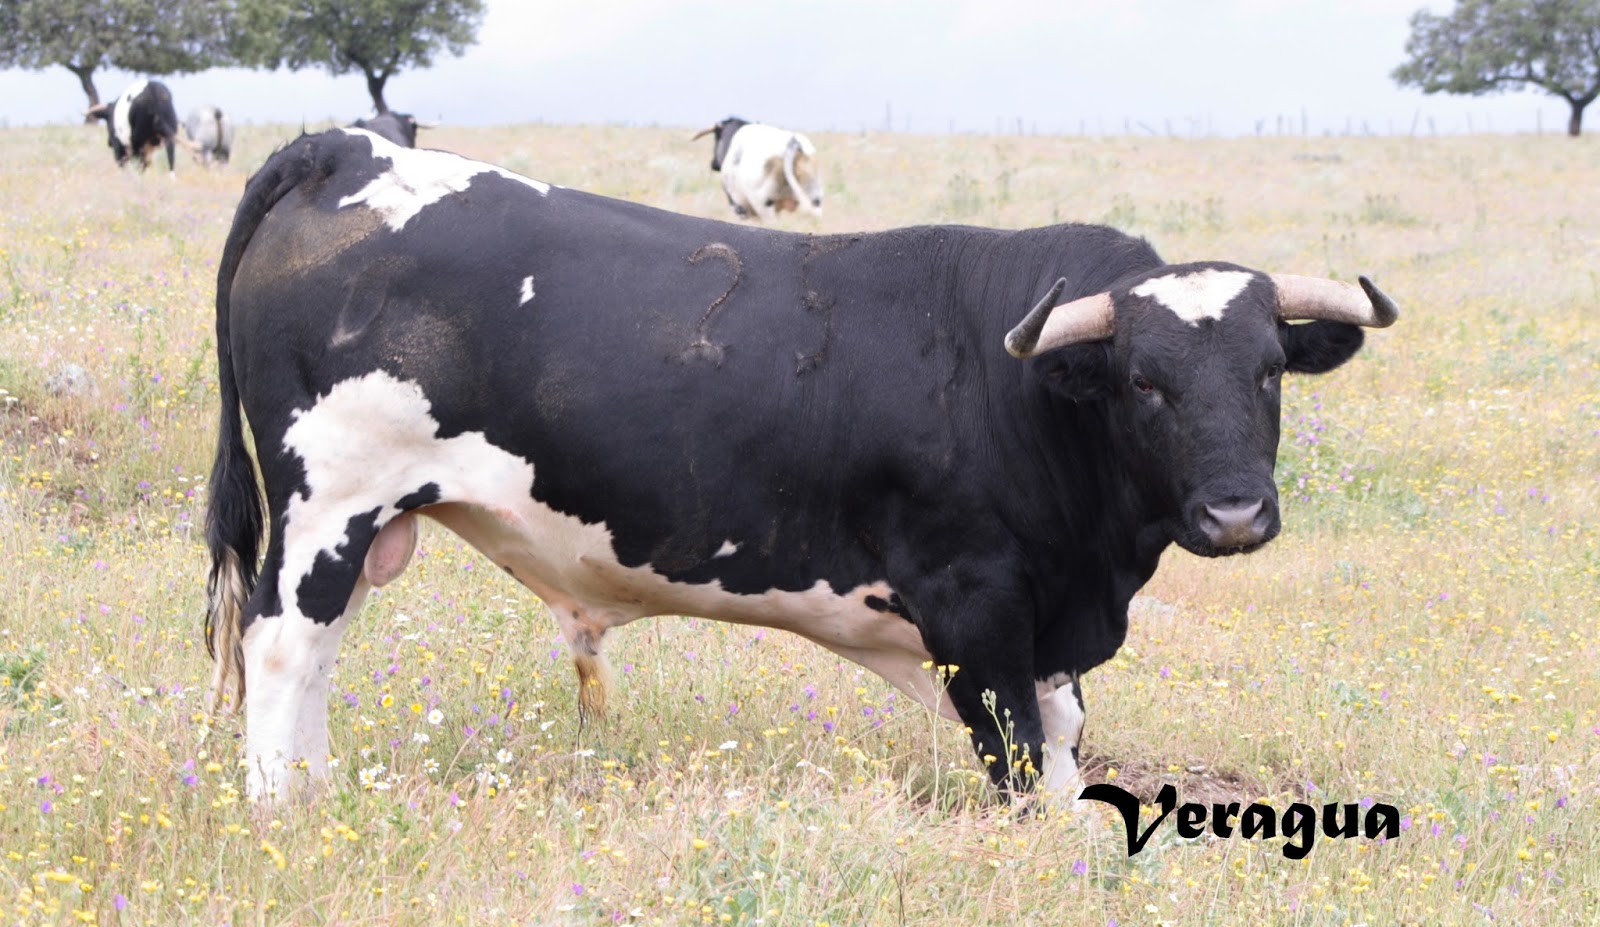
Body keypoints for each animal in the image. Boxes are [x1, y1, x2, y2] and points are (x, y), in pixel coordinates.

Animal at [204, 128, 1398, 804]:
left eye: (1268, 372)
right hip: (328, 507)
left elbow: (1062, 760)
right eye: (1143, 381)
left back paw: (315, 788)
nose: (1236, 513)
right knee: (282, 645)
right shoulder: (976, 617)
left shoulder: (1050, 632)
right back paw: (280, 807)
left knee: (316, 656)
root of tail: (346, 148)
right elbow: (1020, 772)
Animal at [692, 117, 823, 221]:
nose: (713, 164)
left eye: (716, 138)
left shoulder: (739, 205)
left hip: (765, 204)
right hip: (814, 198)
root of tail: (793, 142)